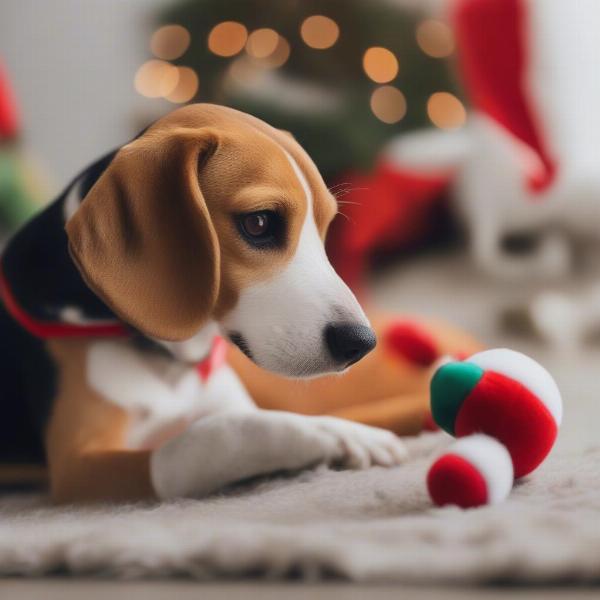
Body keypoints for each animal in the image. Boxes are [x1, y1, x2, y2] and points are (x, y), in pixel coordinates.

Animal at [0, 103, 408, 502]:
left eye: (325, 227)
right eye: (258, 223)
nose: (361, 342)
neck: (171, 364)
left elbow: (245, 416)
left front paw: (347, 428)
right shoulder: (81, 465)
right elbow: (214, 434)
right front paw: (332, 434)